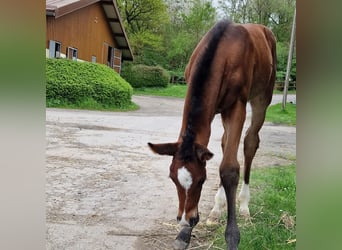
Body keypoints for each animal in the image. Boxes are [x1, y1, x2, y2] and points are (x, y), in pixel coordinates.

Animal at [148, 20, 276, 250]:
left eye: (201, 181)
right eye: (172, 179)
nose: (185, 219)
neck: (222, 48)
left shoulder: (236, 106)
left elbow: (230, 168)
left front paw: (232, 237)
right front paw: (183, 234)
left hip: (262, 97)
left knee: (250, 142)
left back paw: (244, 205)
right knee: (226, 144)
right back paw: (216, 209)